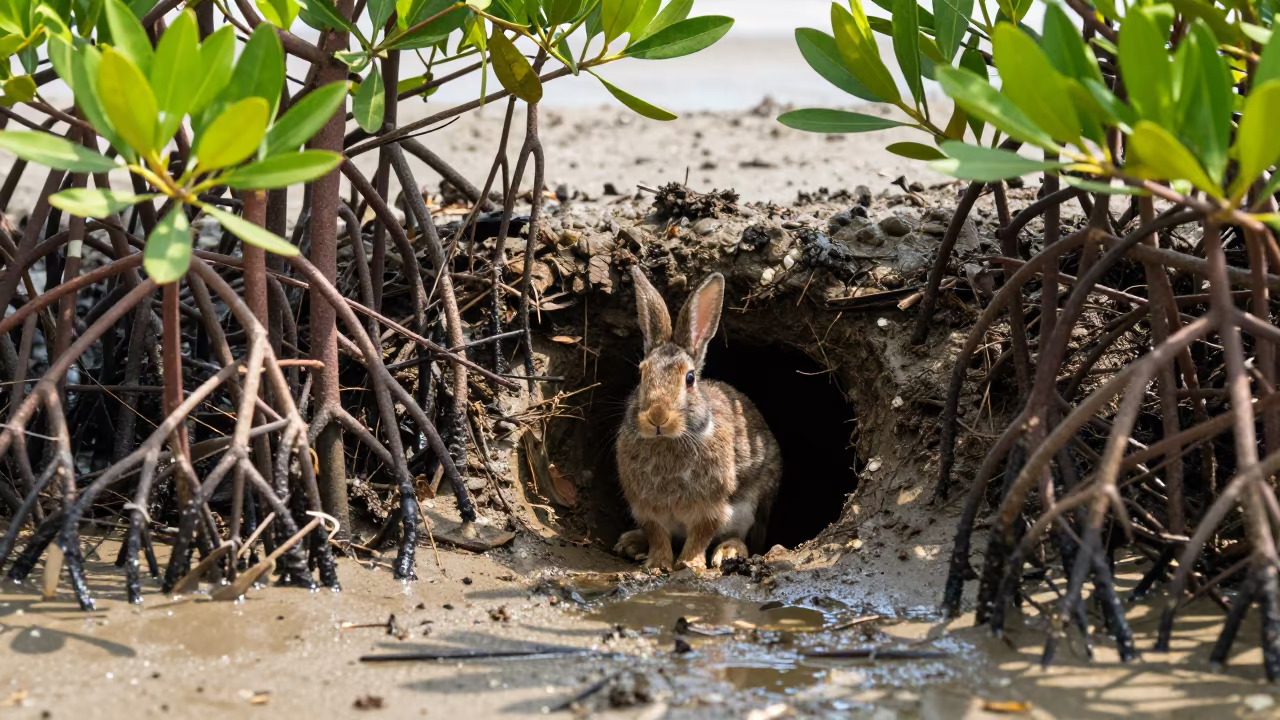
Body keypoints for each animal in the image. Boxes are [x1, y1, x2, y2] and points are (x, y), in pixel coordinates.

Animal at [612, 267, 782, 572]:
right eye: (641, 374)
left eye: (690, 378)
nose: (657, 416)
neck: (670, 440)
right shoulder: (646, 509)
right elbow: (657, 535)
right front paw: (657, 564)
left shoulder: (711, 508)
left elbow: (701, 535)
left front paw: (689, 564)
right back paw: (632, 543)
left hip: (753, 509)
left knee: (741, 538)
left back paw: (728, 552)